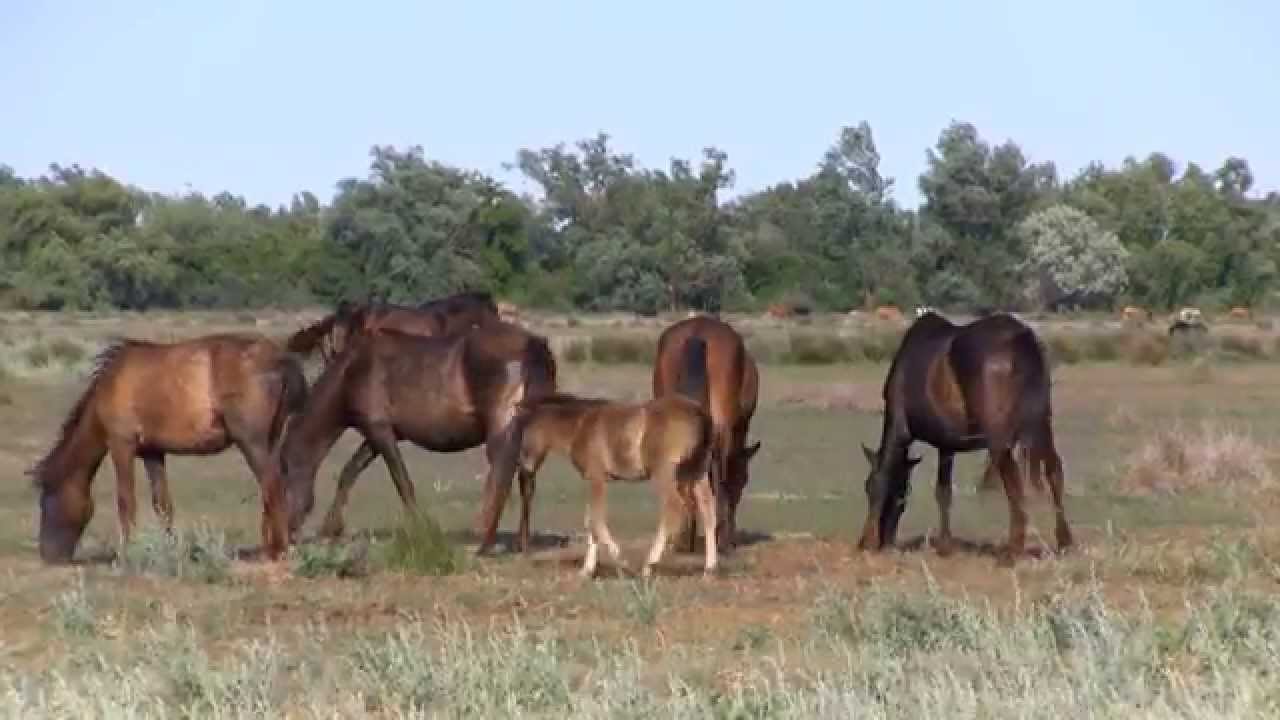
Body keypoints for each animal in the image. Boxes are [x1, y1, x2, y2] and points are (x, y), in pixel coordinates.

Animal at [28, 333, 308, 564]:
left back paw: (278, 551)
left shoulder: (121, 446)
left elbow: (126, 501)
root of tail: (280, 359)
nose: (48, 555)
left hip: (252, 444)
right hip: (270, 441)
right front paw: (168, 549)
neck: (111, 384)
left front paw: (126, 554)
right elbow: (162, 504)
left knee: (272, 487)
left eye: (46, 501)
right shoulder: (152, 453)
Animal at [278, 321, 557, 555]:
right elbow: (350, 472)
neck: (352, 370)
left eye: (283, 476)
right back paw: (521, 544)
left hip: (502, 433)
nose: (287, 534)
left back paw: (484, 543)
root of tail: (532, 344)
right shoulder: (377, 435)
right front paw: (331, 528)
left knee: (502, 477)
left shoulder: (379, 431)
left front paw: (419, 529)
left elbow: (401, 481)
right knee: (526, 480)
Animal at [501, 384, 718, 578]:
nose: (524, 465)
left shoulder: (597, 477)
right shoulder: (594, 480)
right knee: (708, 510)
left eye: (522, 430)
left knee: (673, 509)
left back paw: (649, 566)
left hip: (664, 473)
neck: (580, 425)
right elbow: (590, 521)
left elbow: (595, 520)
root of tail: (701, 414)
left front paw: (621, 560)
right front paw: (587, 570)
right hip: (697, 472)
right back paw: (709, 568)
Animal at [652, 317, 760, 553]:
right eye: (744, 480)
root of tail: (698, 330)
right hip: (722, 424)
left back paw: (683, 537)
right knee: (719, 468)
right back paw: (720, 539)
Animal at [857, 311, 1072, 566]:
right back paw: (1065, 541)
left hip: (999, 440)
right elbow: (943, 492)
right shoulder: (946, 445)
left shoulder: (900, 429)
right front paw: (945, 546)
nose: (883, 540)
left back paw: (1012, 551)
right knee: (1054, 470)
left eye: (867, 487)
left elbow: (886, 479)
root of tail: (1021, 338)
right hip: (1041, 425)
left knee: (1014, 484)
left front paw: (869, 542)